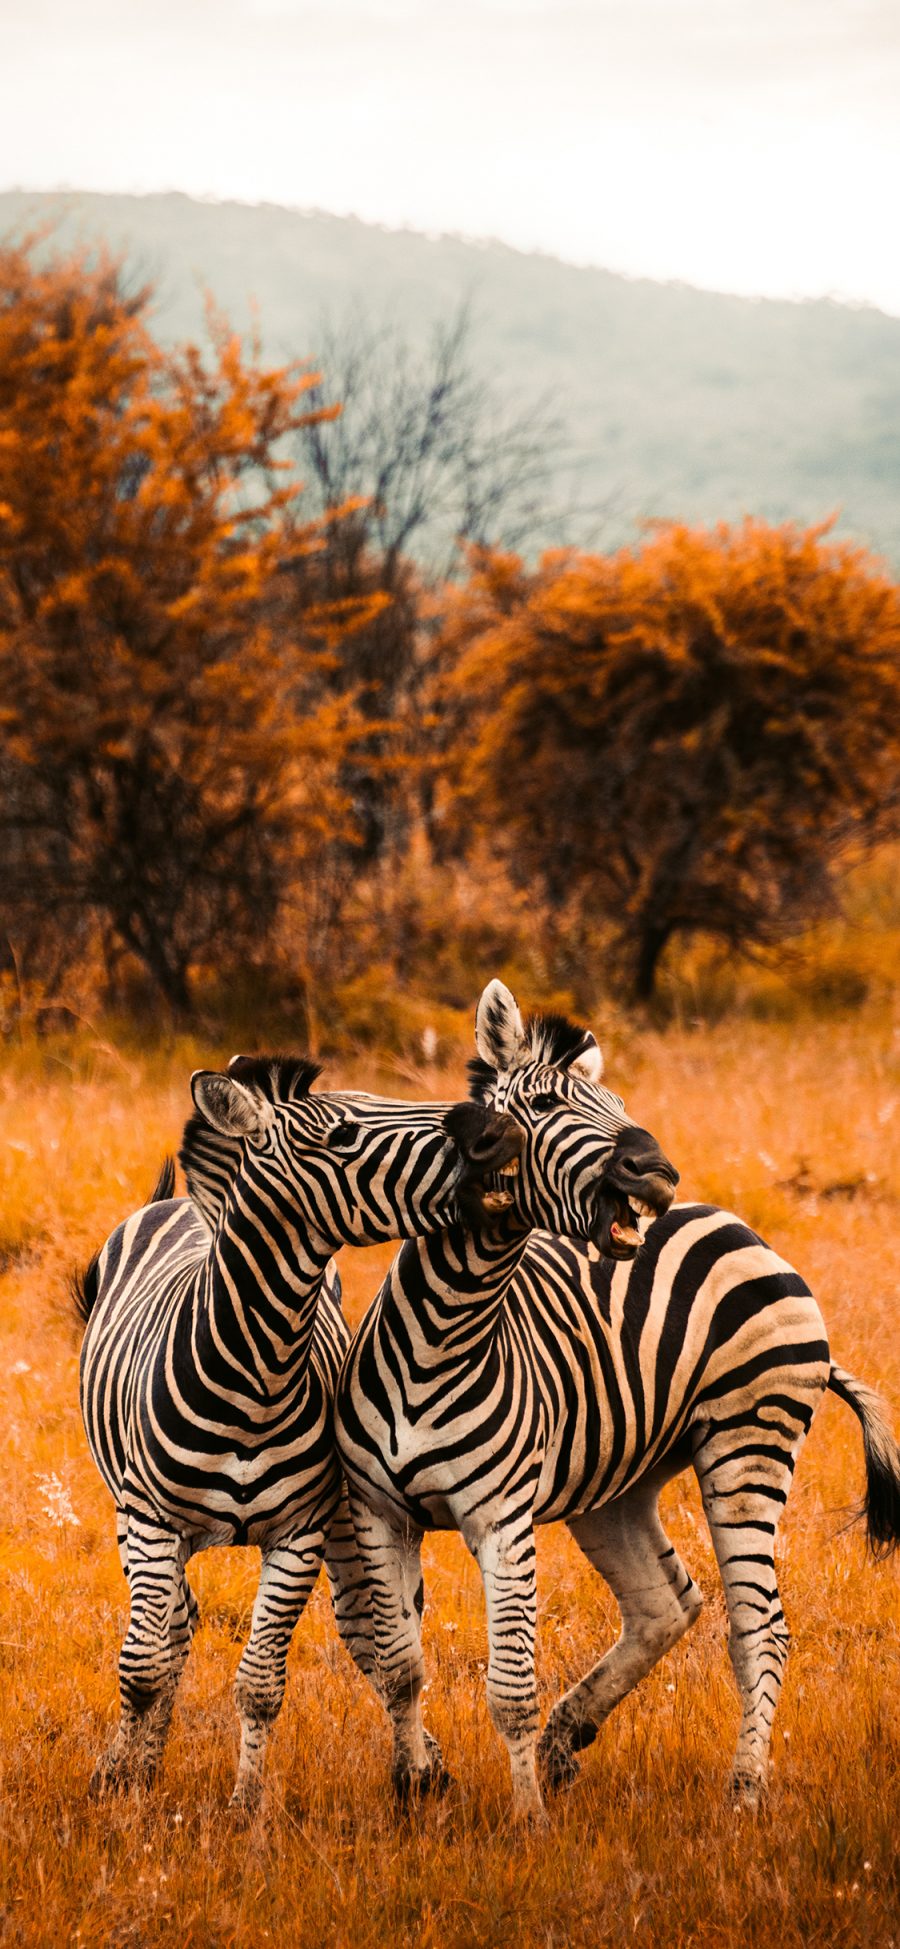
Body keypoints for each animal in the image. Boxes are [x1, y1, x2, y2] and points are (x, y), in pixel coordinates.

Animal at [78, 1052, 522, 1808]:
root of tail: (180, 1202)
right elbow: (141, 1667)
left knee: (364, 1628)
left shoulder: (300, 1531)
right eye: (342, 1134)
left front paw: (246, 1807)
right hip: (131, 1515)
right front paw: (125, 1794)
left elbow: (260, 1684)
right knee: (170, 1628)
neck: (256, 1368)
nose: (492, 1133)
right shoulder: (152, 1521)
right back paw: (135, 1763)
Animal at [335, 990, 900, 1824]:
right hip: (619, 1482)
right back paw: (567, 1740)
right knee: (665, 1602)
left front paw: (528, 1822)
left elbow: (510, 1684)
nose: (657, 1171)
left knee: (759, 1629)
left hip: (746, 1444)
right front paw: (412, 1794)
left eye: (621, 1105)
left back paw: (744, 1791)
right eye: (541, 1104)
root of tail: (744, 1230)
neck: (444, 1333)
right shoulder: (379, 1508)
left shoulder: (501, 1517)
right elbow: (400, 1664)